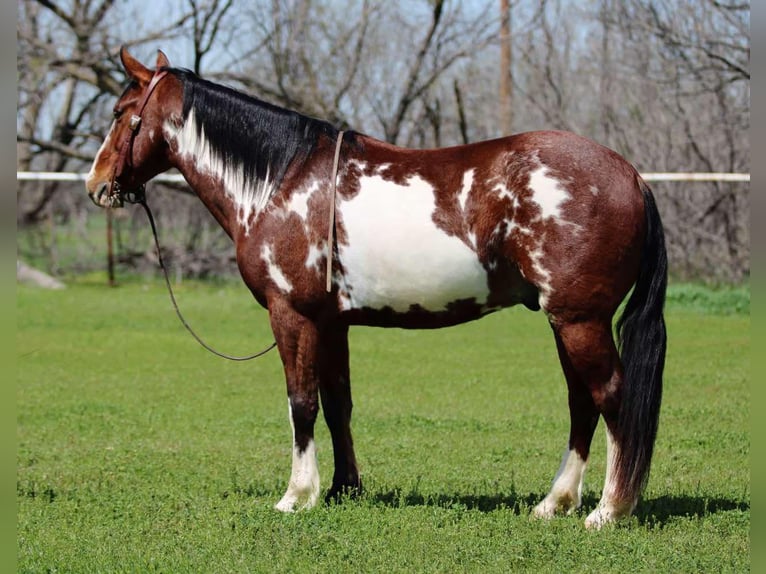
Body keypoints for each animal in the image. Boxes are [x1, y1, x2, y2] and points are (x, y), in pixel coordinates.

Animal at [87, 47, 668, 528]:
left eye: (119, 112)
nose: (96, 185)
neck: (283, 181)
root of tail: (631, 176)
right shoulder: (331, 322)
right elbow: (337, 402)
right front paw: (343, 489)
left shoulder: (292, 314)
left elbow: (302, 402)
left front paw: (296, 496)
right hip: (564, 320)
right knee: (581, 401)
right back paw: (555, 503)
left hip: (580, 320)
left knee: (611, 397)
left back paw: (608, 510)